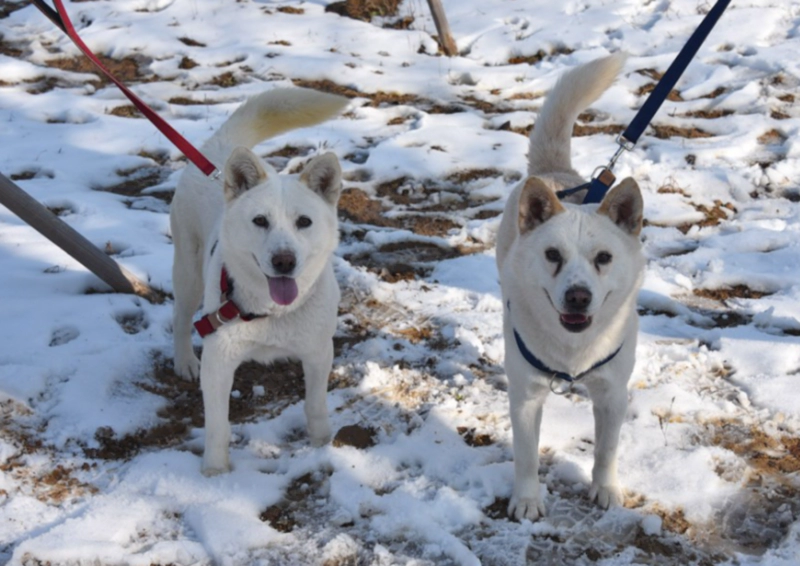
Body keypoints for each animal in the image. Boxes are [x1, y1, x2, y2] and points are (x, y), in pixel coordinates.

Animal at [170, 86, 348, 474]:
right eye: (260, 221)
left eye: (304, 222)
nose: (284, 261)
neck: (272, 312)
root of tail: (220, 147)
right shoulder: (218, 361)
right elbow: (218, 425)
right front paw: (215, 472)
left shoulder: (319, 353)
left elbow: (315, 406)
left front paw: (322, 444)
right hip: (188, 274)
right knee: (179, 320)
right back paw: (184, 360)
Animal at [496, 54, 648, 524]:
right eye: (552, 255)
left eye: (604, 258)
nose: (578, 297)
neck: (573, 352)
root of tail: (553, 173)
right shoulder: (526, 399)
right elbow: (526, 456)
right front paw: (527, 500)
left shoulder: (613, 394)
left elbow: (606, 450)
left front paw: (605, 490)